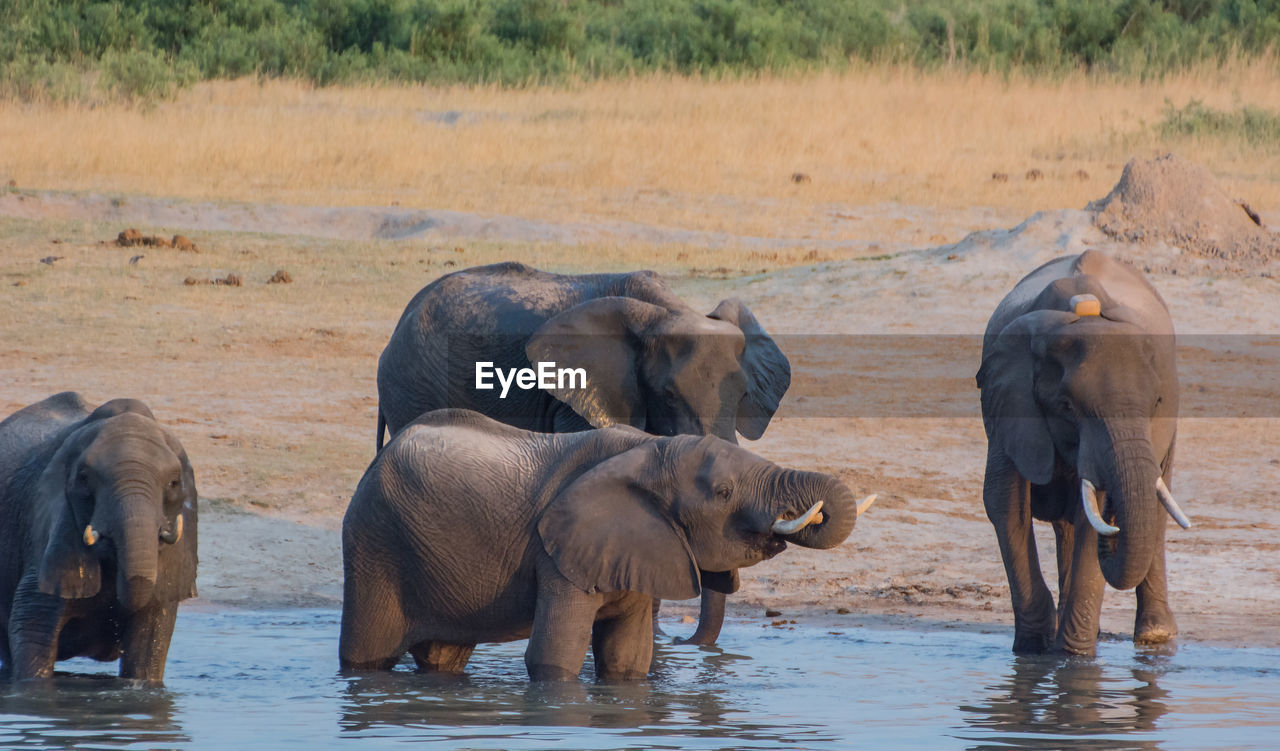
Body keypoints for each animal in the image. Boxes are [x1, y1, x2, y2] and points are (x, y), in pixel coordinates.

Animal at [340, 409, 865, 685]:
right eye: (722, 493)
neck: (651, 450)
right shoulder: (558, 553)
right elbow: (553, 658)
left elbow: (627, 661)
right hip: (373, 546)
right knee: (367, 655)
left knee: (443, 657)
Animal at [371, 260, 788, 644]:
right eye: (668, 395)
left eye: (743, 395)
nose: (677, 639)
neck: (667, 310)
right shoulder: (578, 395)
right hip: (412, 384)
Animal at [977, 249, 1187, 655]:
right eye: (1066, 406)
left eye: (1156, 402)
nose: (1116, 530)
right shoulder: (1009, 403)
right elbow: (1006, 504)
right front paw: (1034, 650)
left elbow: (1092, 516)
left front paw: (1071, 655)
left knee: (1156, 508)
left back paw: (1154, 637)